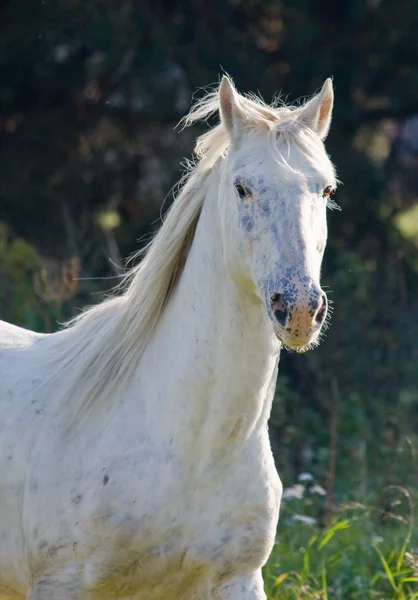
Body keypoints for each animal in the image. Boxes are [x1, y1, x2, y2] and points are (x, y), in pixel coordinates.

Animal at [0, 76, 336, 600]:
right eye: (242, 188)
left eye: (325, 189)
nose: (300, 309)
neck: (191, 451)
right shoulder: (62, 583)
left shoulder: (238, 580)